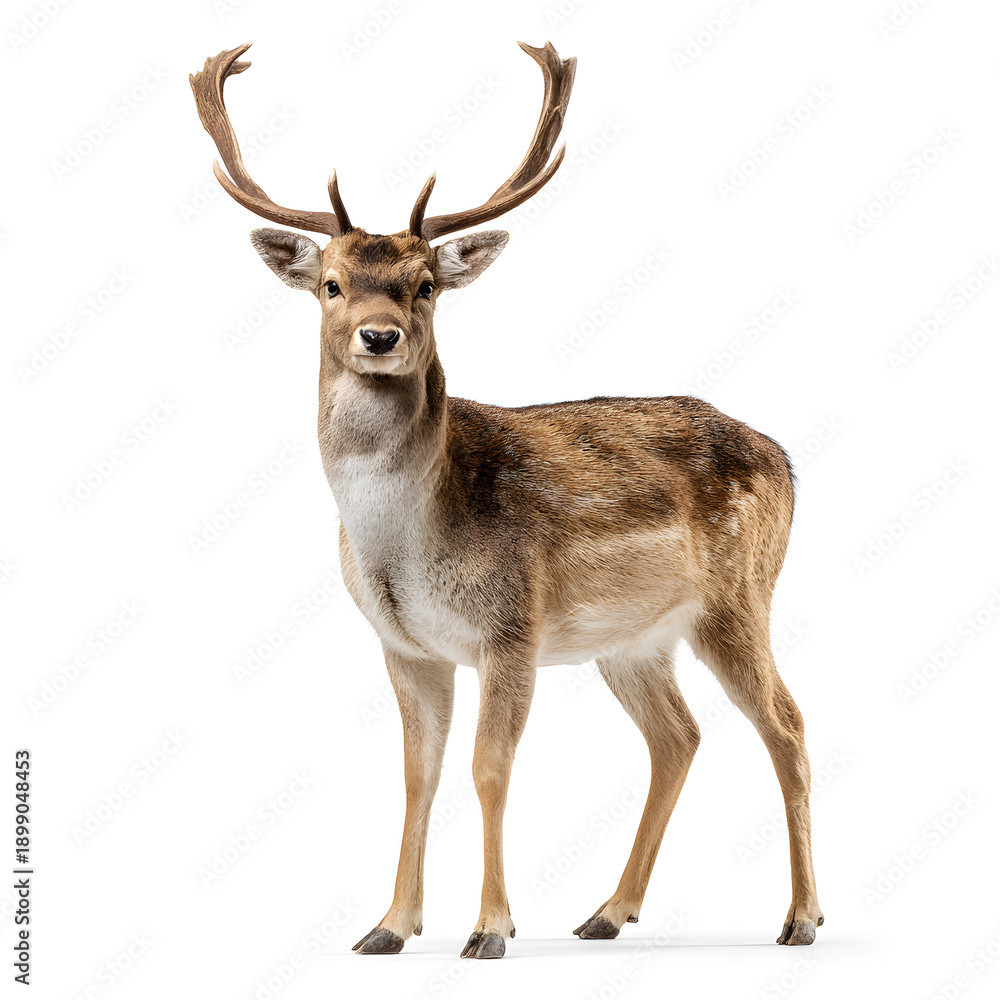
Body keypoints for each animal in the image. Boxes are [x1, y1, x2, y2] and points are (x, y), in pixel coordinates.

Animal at [190, 40, 823, 960]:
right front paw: (388, 927)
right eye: (333, 283)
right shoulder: (403, 644)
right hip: (633, 639)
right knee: (679, 735)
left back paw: (801, 917)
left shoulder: (512, 625)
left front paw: (489, 929)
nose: (378, 336)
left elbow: (490, 769)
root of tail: (784, 458)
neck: (407, 541)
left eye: (425, 284)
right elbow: (417, 773)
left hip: (739, 596)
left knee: (786, 722)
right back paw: (606, 912)